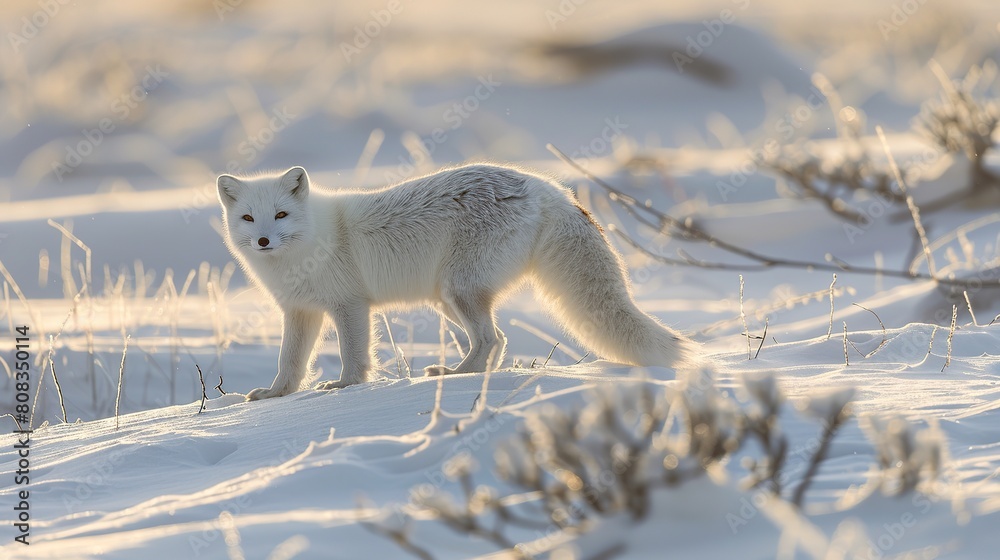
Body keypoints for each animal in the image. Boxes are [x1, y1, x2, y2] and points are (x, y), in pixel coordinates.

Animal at [217, 163, 693, 400]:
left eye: (281, 214)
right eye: (248, 218)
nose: (263, 240)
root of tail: (548, 188)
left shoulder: (350, 305)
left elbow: (354, 357)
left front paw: (345, 387)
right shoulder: (300, 311)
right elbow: (289, 362)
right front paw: (276, 395)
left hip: (457, 290)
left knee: (492, 339)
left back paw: (453, 376)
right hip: (448, 299)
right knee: (494, 342)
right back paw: (462, 375)